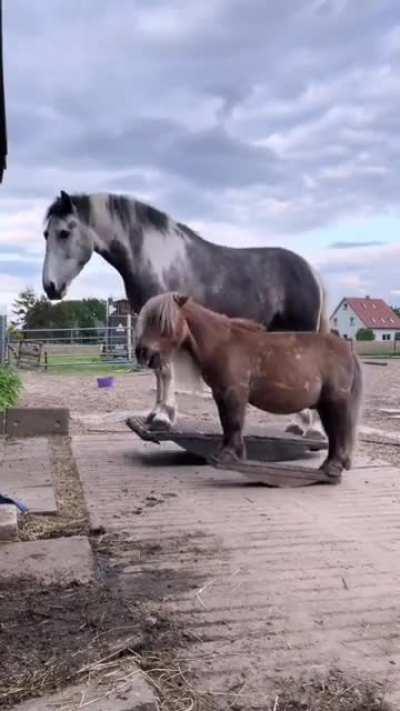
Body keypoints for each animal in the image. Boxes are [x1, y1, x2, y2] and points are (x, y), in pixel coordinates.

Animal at [42, 191, 326, 434]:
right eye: (46, 234)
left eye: (64, 232)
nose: (51, 287)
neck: (156, 259)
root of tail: (310, 270)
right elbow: (157, 371)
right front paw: (155, 414)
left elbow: (166, 370)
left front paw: (164, 417)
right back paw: (299, 425)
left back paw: (307, 427)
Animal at [135, 292, 362, 482]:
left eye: (162, 321)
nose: (141, 352)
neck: (223, 344)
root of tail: (348, 350)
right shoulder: (221, 394)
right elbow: (227, 424)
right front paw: (227, 453)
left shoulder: (235, 392)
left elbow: (234, 423)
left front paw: (229, 456)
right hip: (325, 404)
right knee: (333, 434)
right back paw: (327, 467)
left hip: (336, 401)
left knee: (339, 432)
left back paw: (332, 468)